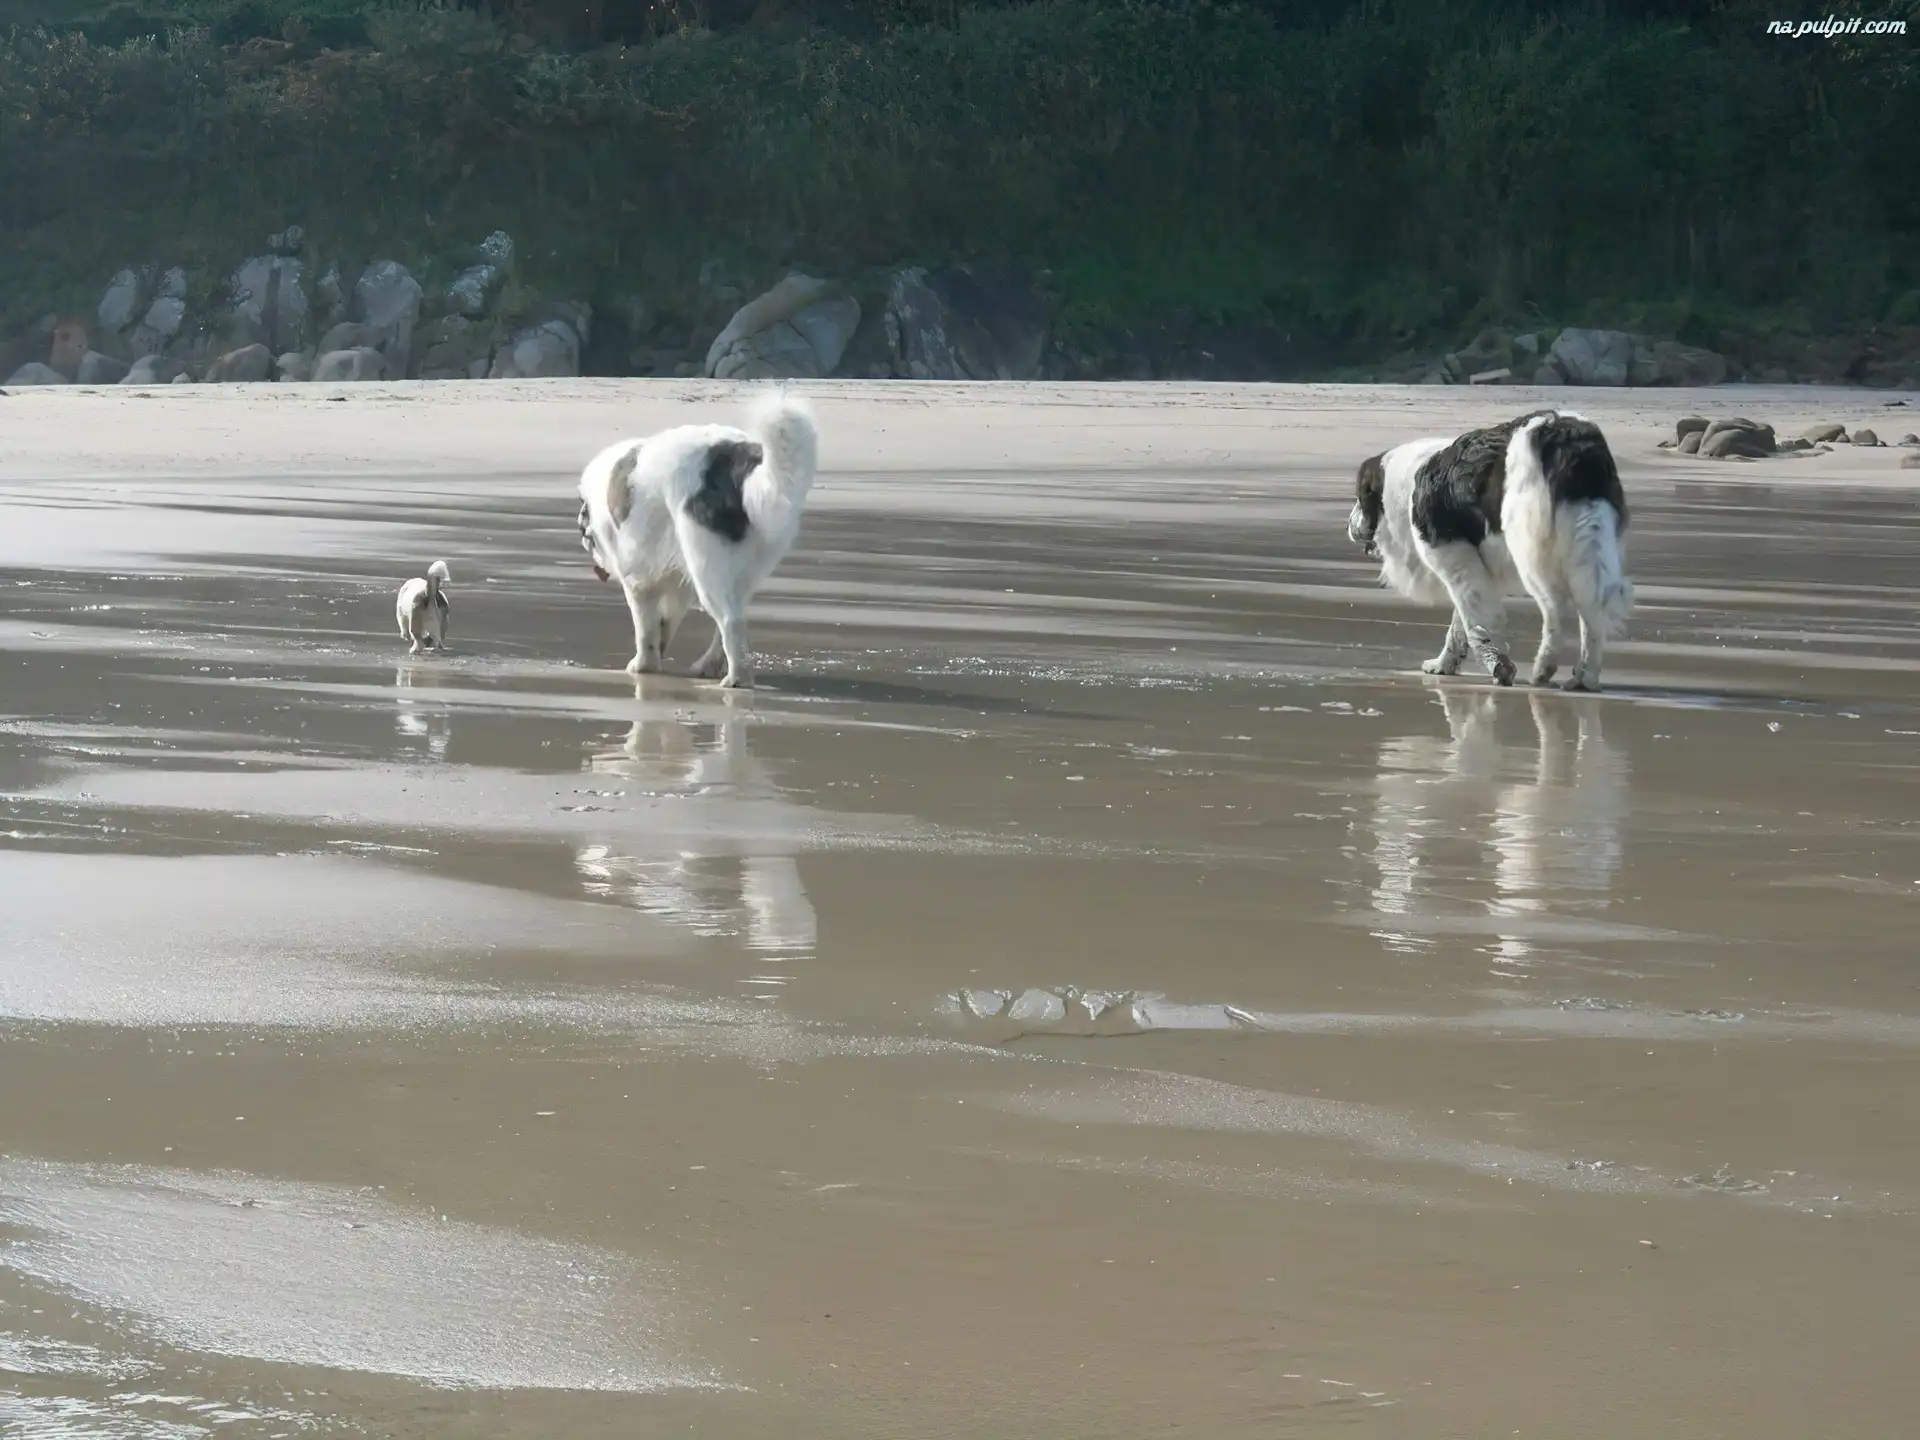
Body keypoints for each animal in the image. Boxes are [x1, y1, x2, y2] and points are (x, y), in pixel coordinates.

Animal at [576, 391, 818, 689]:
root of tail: (737, 458)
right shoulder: (676, 581)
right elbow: (666, 620)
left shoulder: (637, 578)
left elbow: (645, 626)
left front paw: (643, 665)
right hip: (745, 566)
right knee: (734, 619)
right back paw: (709, 666)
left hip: (707, 563)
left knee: (730, 621)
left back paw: (736, 678)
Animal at [1348, 410, 1632, 691]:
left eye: (1360, 496)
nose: (1349, 525)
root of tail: (1558, 431)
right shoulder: (1472, 566)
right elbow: (1461, 625)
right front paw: (1444, 665)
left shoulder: (1453, 559)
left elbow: (1474, 620)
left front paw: (1499, 667)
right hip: (1588, 541)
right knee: (1592, 608)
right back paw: (1585, 677)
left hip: (1530, 549)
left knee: (1554, 606)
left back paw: (1544, 668)